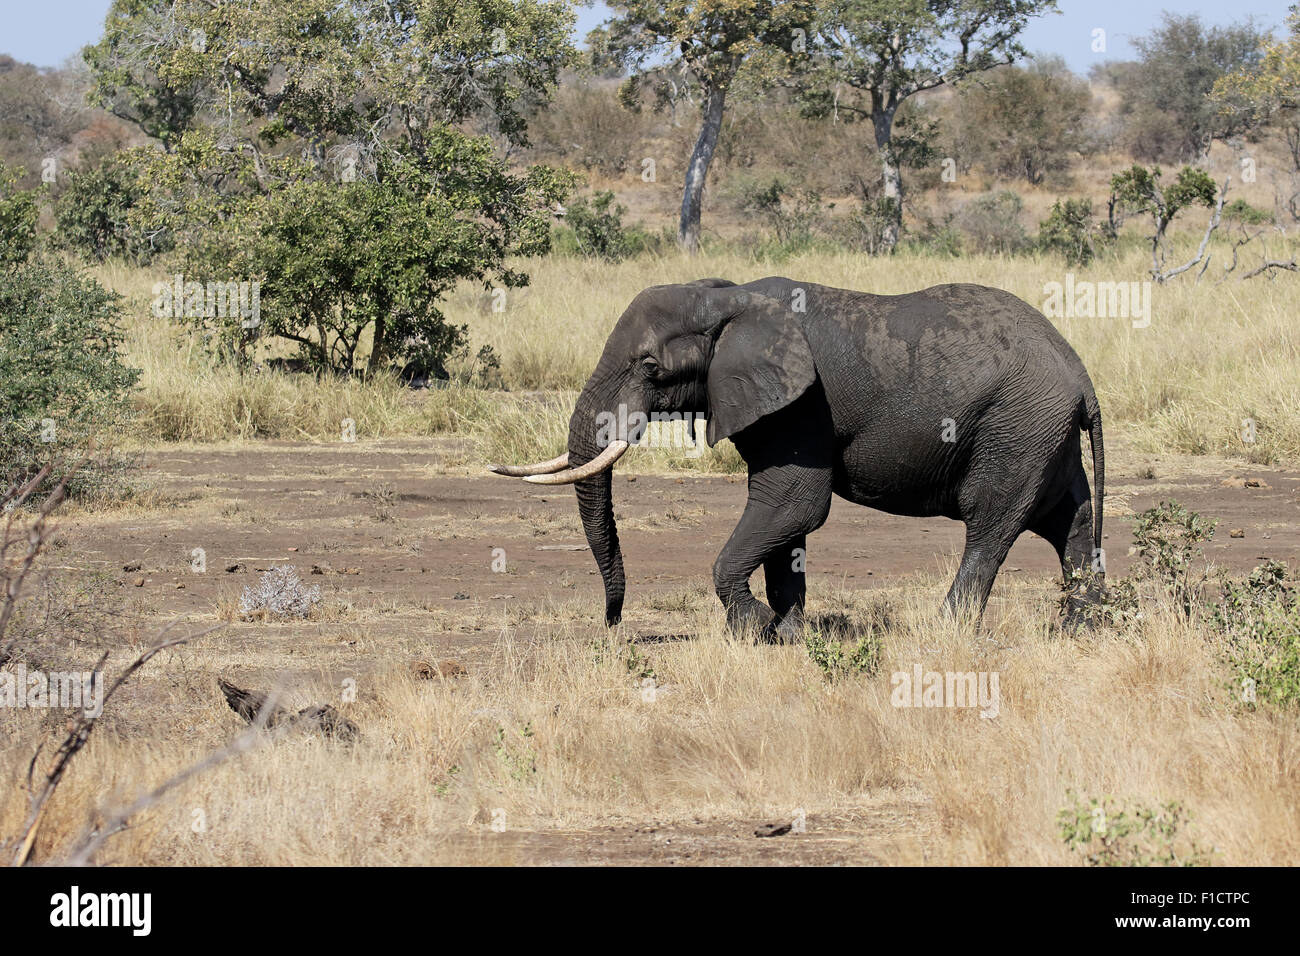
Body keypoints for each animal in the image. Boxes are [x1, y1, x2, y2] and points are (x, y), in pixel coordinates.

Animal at [491, 277, 1102, 642]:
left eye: (649, 367)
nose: (613, 625)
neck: (727, 297)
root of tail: (1079, 370)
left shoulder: (801, 406)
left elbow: (794, 505)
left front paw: (757, 630)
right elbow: (785, 524)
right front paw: (787, 636)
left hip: (1017, 424)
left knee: (990, 524)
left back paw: (946, 631)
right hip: (1041, 433)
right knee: (1069, 522)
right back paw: (1085, 630)